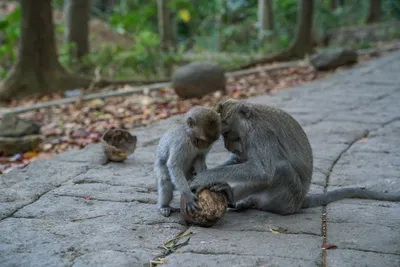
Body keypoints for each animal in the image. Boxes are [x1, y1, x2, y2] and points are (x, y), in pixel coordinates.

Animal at [190, 99, 400, 216]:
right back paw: (238, 197)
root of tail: (300, 202)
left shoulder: (261, 135)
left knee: (280, 169)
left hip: (288, 198)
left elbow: (263, 170)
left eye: (226, 132)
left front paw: (205, 177)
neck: (251, 123)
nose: (227, 145)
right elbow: (242, 161)